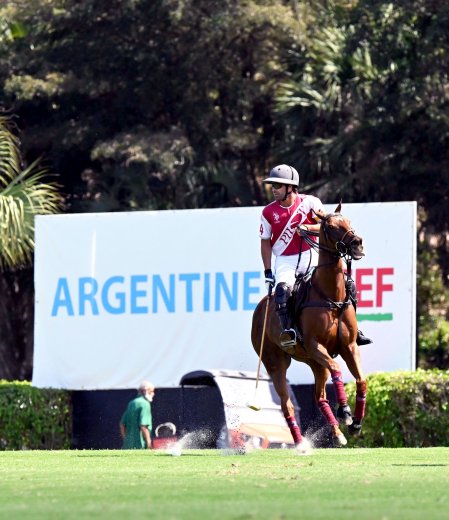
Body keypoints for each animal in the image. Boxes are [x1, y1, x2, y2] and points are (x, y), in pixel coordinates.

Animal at [250, 203, 366, 446]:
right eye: (331, 227)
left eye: (349, 221)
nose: (357, 243)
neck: (330, 296)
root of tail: (260, 307)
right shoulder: (315, 345)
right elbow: (337, 369)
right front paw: (345, 412)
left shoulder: (349, 346)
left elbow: (361, 380)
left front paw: (356, 423)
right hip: (274, 362)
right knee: (286, 404)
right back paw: (300, 443)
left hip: (313, 362)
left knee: (319, 396)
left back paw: (338, 434)